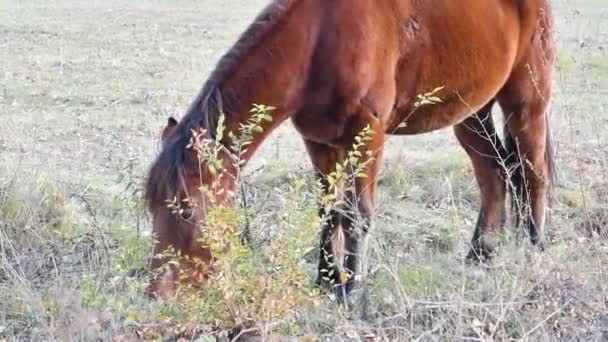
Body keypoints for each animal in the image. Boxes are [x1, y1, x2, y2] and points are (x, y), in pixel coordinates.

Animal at [145, 0, 552, 300]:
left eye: (186, 210)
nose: (158, 293)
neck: (317, 42)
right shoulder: (320, 141)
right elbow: (329, 210)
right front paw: (327, 279)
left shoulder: (367, 135)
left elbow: (357, 213)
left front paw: (352, 290)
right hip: (470, 111)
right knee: (492, 170)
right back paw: (481, 253)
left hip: (526, 100)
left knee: (532, 170)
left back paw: (535, 247)